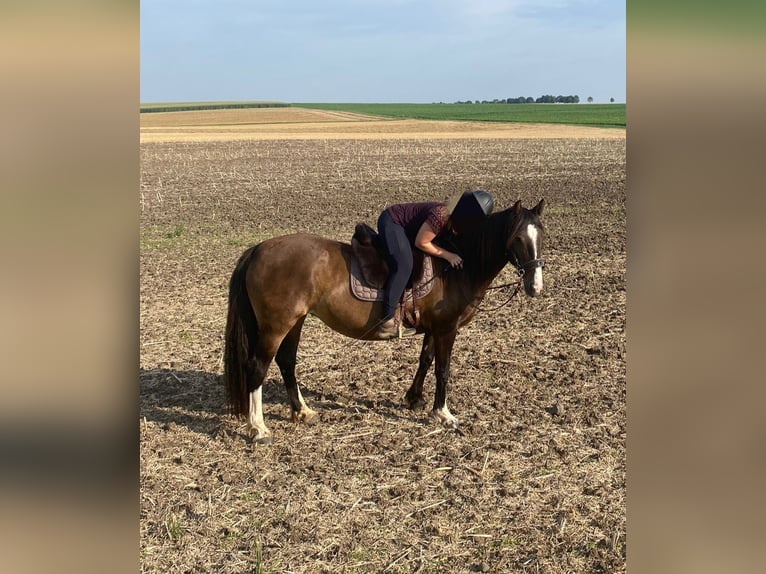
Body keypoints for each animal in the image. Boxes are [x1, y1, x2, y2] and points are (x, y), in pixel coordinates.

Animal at [222, 199, 544, 446]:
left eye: (541, 234)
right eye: (517, 238)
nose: (535, 286)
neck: (456, 268)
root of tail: (258, 249)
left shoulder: (434, 329)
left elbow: (425, 360)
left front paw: (414, 398)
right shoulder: (446, 329)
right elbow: (442, 370)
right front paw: (443, 413)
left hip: (296, 320)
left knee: (287, 362)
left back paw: (302, 411)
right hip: (275, 325)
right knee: (257, 367)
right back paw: (259, 428)